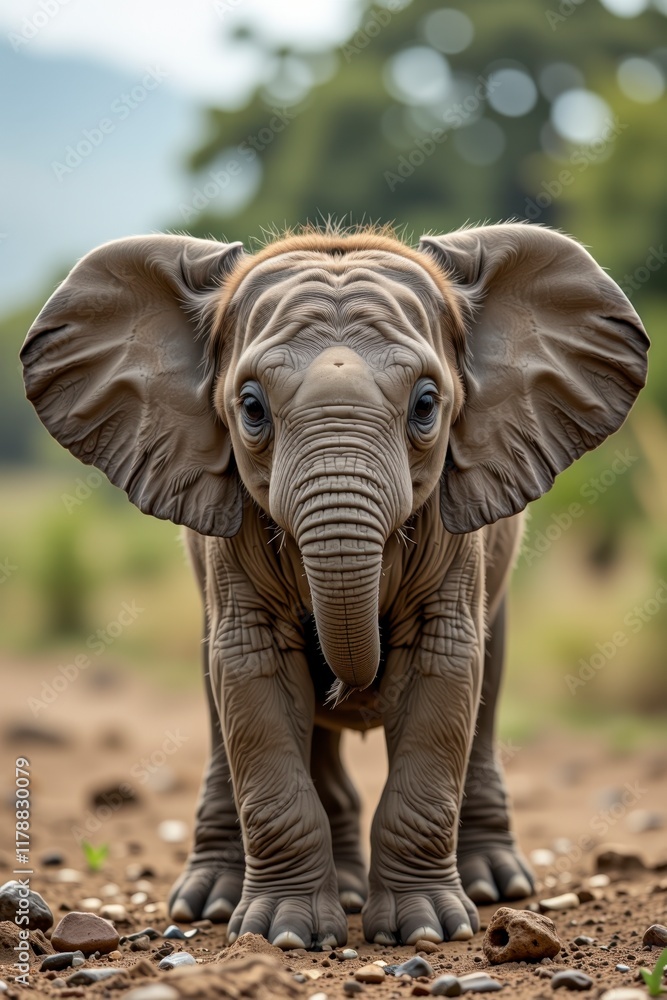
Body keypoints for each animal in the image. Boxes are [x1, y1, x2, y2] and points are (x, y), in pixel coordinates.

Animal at [21, 222, 648, 950]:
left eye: (426, 404)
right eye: (251, 407)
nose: (349, 686)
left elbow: (442, 672)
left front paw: (423, 933)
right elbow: (254, 677)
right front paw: (284, 937)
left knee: (485, 685)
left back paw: (494, 887)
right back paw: (219, 903)